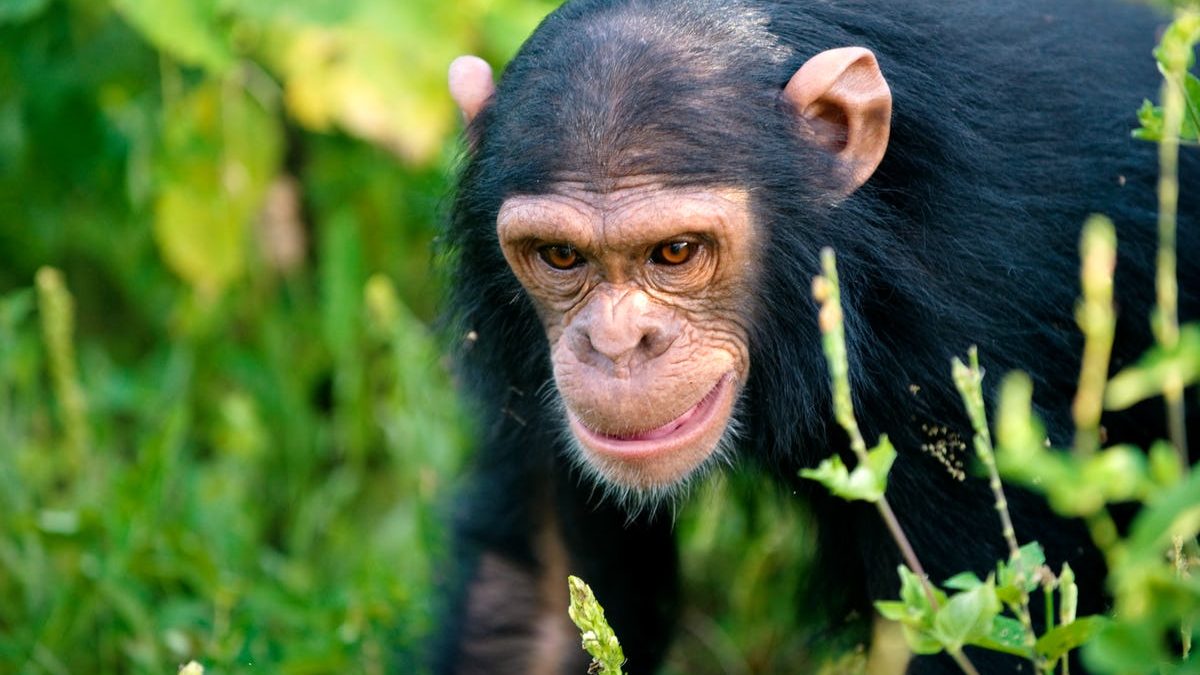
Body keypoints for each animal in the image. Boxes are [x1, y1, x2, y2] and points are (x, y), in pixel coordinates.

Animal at [429, 0, 1190, 667]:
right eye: (561, 256)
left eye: (675, 252)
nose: (614, 345)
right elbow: (537, 598)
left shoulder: (967, 350)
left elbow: (974, 626)